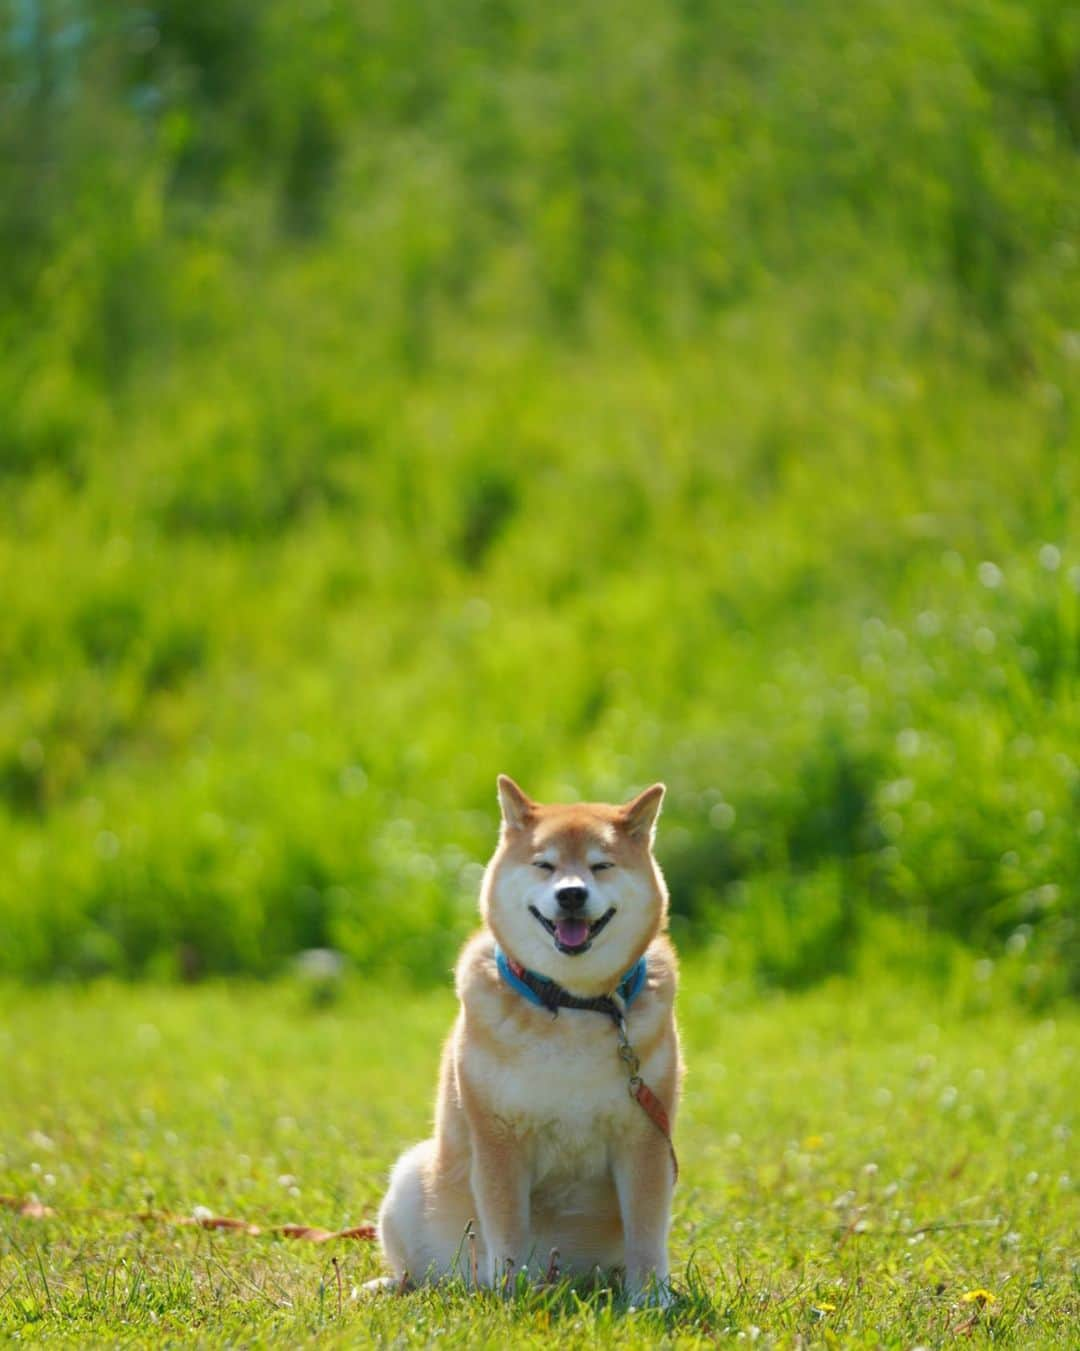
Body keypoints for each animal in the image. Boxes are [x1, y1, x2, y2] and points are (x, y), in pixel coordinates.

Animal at [378, 778, 683, 1302]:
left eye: (601, 865)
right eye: (545, 864)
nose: (572, 894)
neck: (572, 1003)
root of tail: (572, 1278)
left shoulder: (644, 1137)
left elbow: (646, 1229)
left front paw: (651, 1300)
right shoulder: (499, 1138)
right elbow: (506, 1226)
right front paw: (511, 1294)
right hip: (410, 1180)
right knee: (418, 1274)